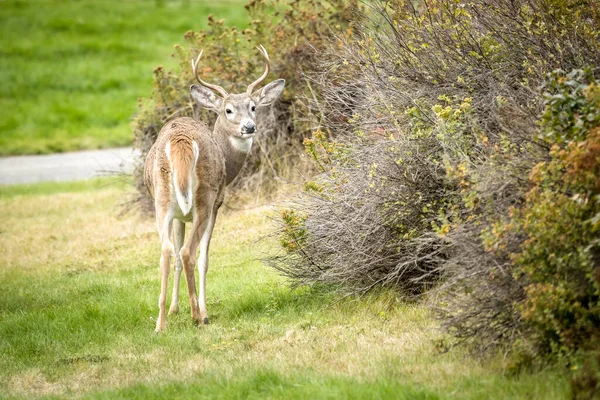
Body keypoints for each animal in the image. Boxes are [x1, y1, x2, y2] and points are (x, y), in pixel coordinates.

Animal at [145, 46, 286, 332]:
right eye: (228, 110)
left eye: (253, 107)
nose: (249, 126)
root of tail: (181, 142)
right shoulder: (217, 205)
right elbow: (204, 259)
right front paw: (203, 310)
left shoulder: (179, 216)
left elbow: (176, 258)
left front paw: (175, 309)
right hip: (204, 198)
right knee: (189, 252)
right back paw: (197, 317)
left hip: (162, 200)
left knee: (167, 251)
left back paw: (161, 323)